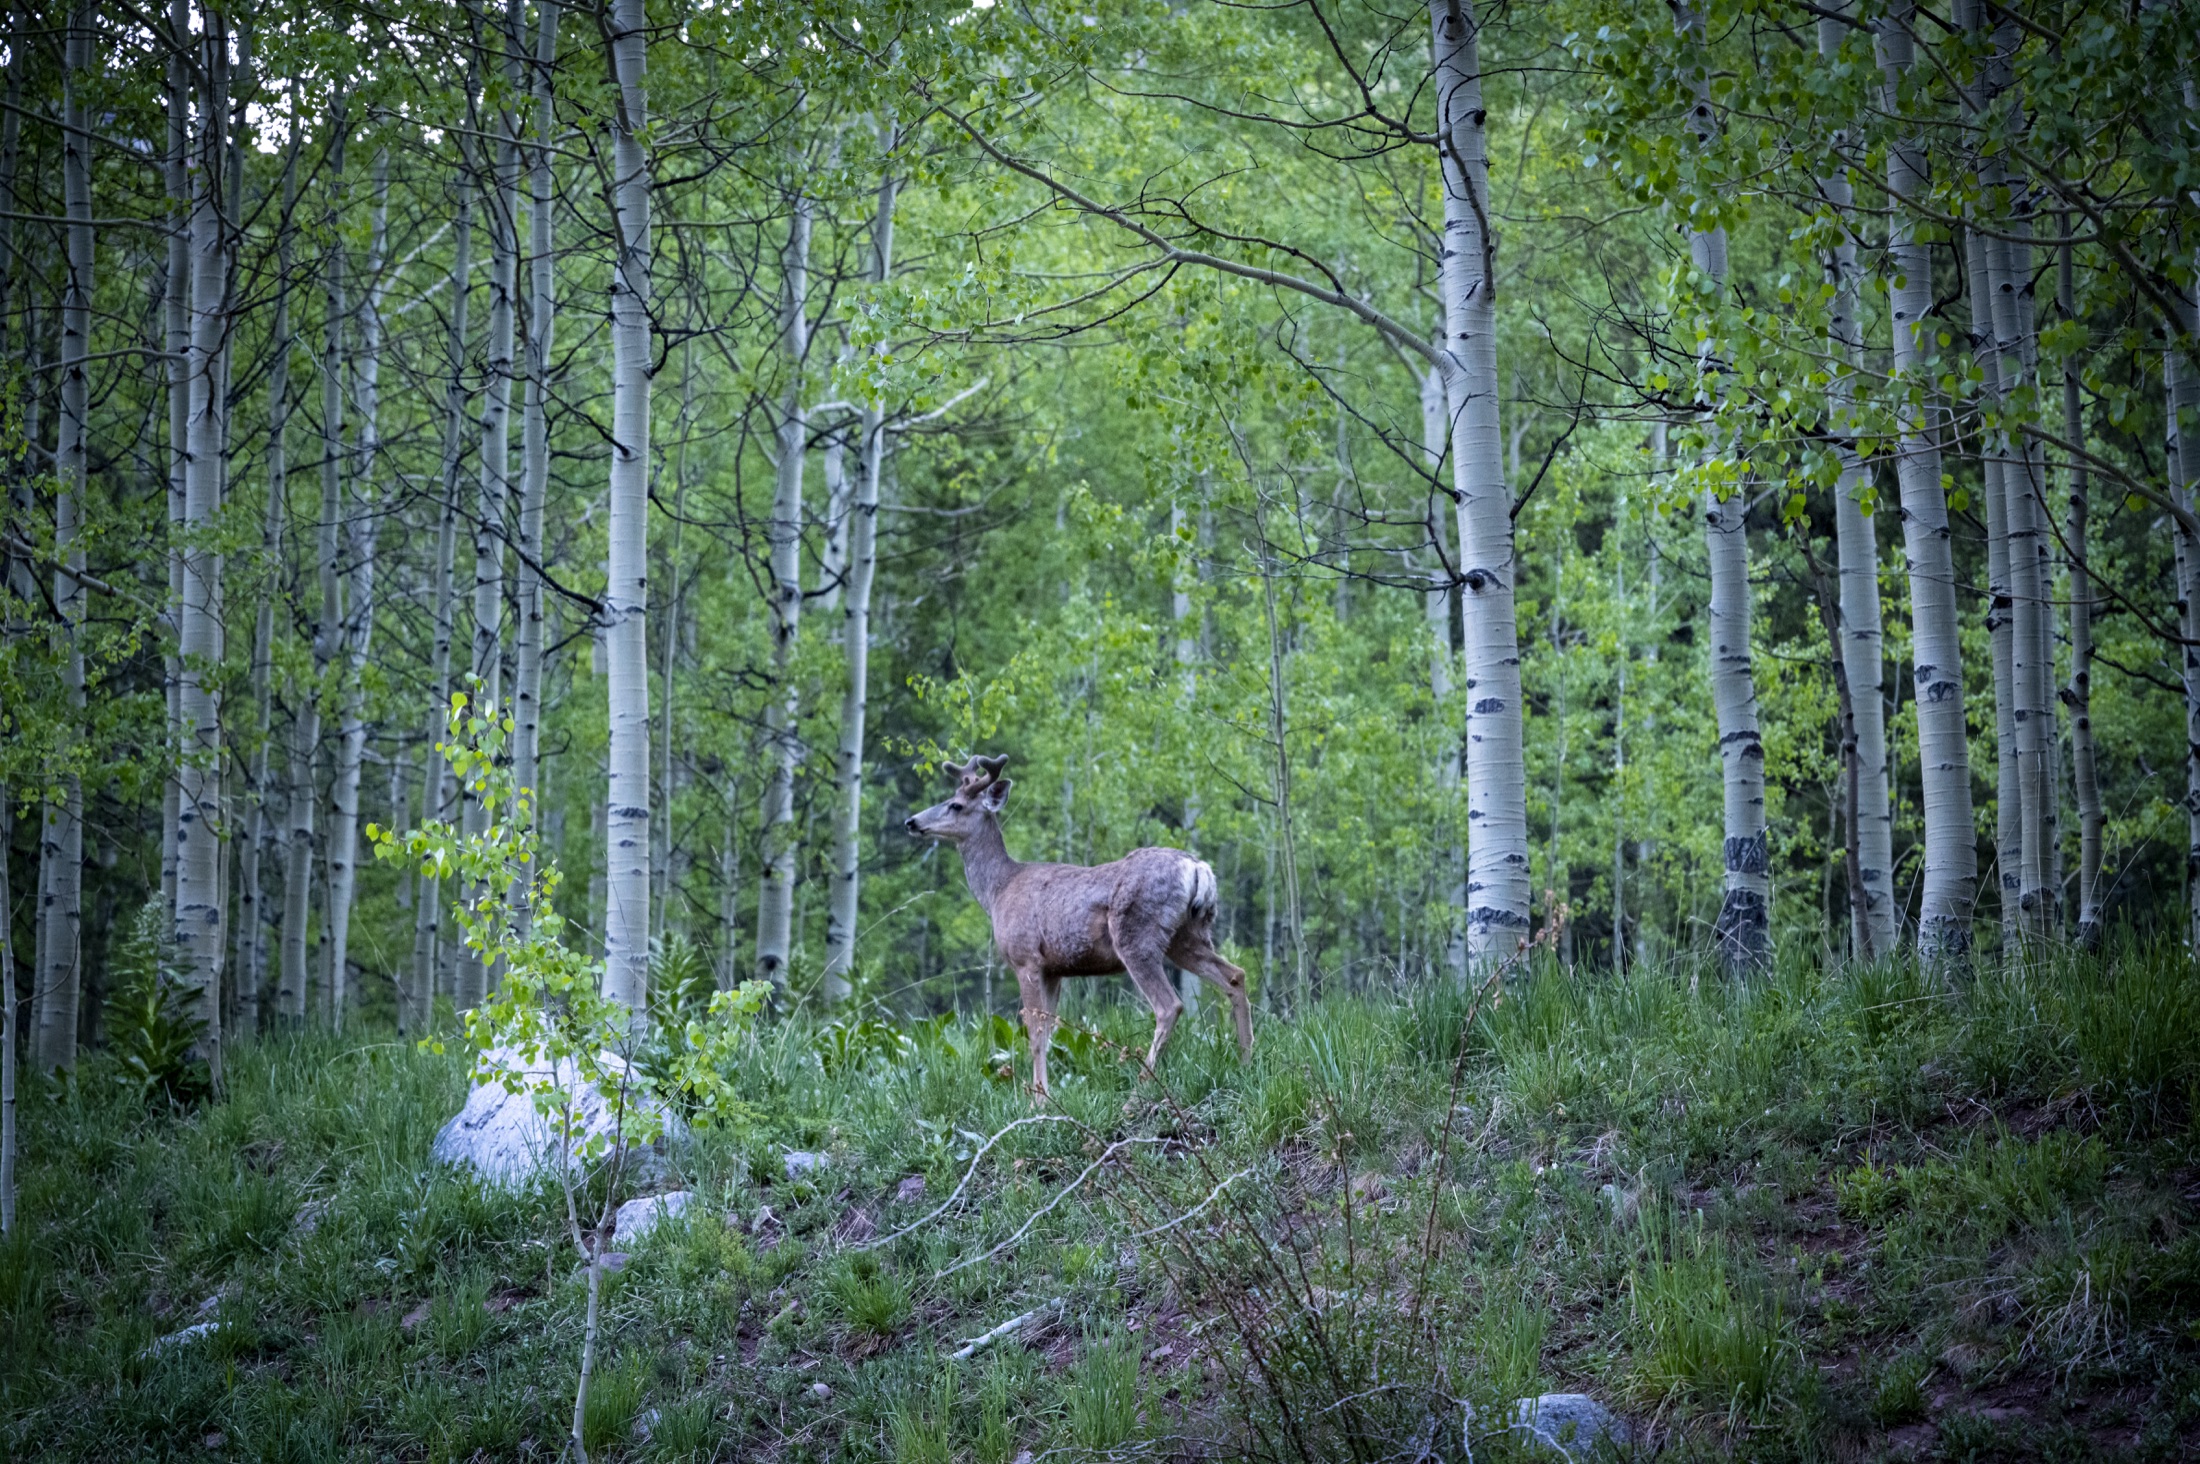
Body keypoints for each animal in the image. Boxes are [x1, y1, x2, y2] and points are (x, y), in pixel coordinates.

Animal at [904, 754, 1253, 1101]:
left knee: (1169, 1006)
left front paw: (1038, 1100)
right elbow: (1048, 1033)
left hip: (1137, 934)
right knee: (1234, 975)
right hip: (1189, 935)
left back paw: (1137, 1092)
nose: (912, 822)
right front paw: (1043, 1093)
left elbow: (1035, 1033)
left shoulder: (1025, 958)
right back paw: (1245, 1061)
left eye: (956, 805)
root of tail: (1198, 868)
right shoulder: (1054, 969)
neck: (997, 890)